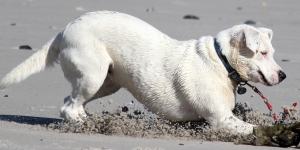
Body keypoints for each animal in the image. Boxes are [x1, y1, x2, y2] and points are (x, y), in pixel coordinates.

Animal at [0, 11, 286, 134]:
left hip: (107, 82)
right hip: (93, 75)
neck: (221, 60)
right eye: (262, 52)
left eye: (272, 51)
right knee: (68, 107)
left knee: (70, 103)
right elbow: (253, 129)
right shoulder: (221, 119)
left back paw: (88, 121)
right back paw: (89, 126)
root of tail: (63, 30)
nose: (283, 76)